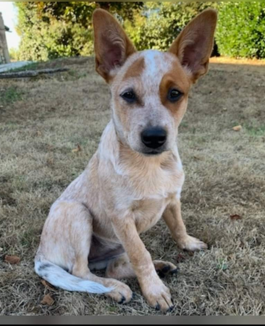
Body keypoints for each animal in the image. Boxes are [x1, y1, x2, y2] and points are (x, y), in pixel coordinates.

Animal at [34, 8, 217, 312]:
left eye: (175, 94)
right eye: (128, 95)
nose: (154, 137)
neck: (150, 166)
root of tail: (40, 256)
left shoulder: (172, 199)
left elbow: (178, 226)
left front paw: (187, 244)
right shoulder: (122, 219)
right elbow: (141, 255)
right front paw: (154, 291)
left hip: (113, 246)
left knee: (113, 267)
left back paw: (160, 267)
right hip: (77, 213)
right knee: (82, 271)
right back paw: (116, 289)